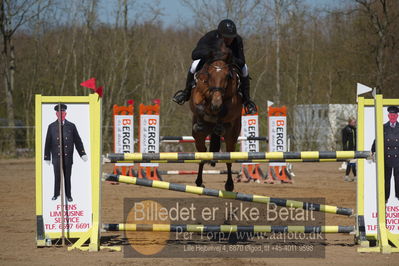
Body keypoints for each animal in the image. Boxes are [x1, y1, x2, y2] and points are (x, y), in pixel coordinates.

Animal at [189, 40, 242, 191]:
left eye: (227, 76)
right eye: (209, 75)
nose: (216, 104)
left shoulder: (233, 103)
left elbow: (224, 111)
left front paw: (218, 117)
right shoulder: (197, 93)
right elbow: (199, 106)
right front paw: (202, 119)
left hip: (232, 137)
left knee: (229, 159)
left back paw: (229, 185)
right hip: (199, 138)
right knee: (202, 154)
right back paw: (198, 181)